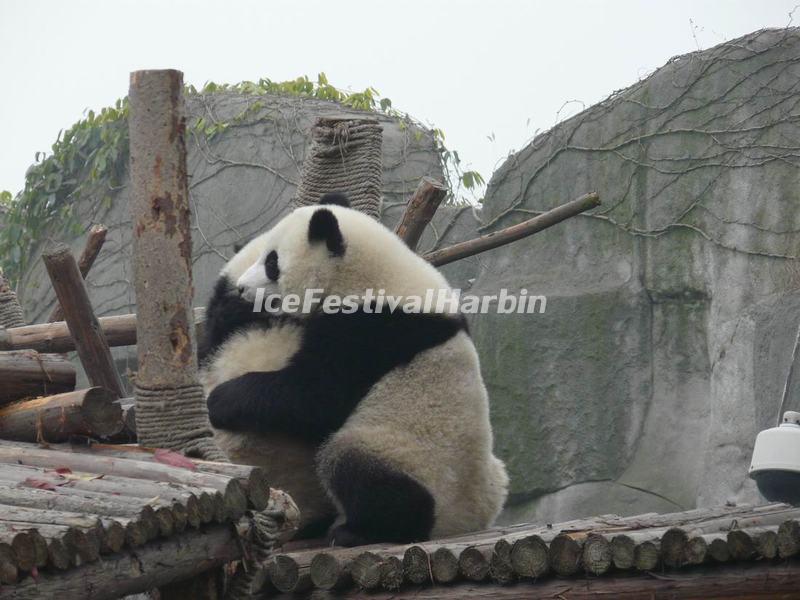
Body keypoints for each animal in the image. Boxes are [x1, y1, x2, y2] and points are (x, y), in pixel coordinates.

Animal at [203, 193, 508, 546]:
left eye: (272, 262)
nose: (241, 289)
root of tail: (465, 522)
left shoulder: (372, 330)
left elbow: (312, 398)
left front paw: (220, 400)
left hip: (405, 453)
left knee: (357, 468)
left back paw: (358, 530)